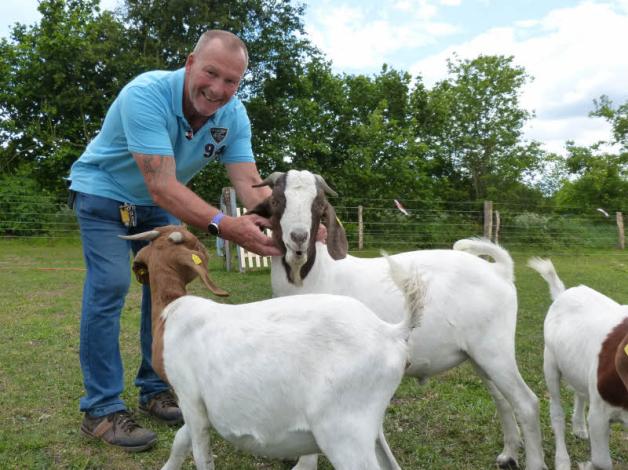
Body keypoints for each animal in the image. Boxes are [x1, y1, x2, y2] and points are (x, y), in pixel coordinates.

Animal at [248, 171, 548, 470]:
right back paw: (508, 454)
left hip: (495, 348)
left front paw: (304, 464)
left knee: (527, 402)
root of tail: (500, 271)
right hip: (478, 353)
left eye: (319, 205)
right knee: (502, 399)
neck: (315, 274)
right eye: (276, 201)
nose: (298, 238)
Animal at [528, 258, 624, 470]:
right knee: (556, 413)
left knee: (579, 391)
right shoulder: (599, 415)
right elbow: (601, 462)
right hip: (550, 362)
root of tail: (563, 293)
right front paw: (587, 465)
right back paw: (562, 460)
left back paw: (579, 426)